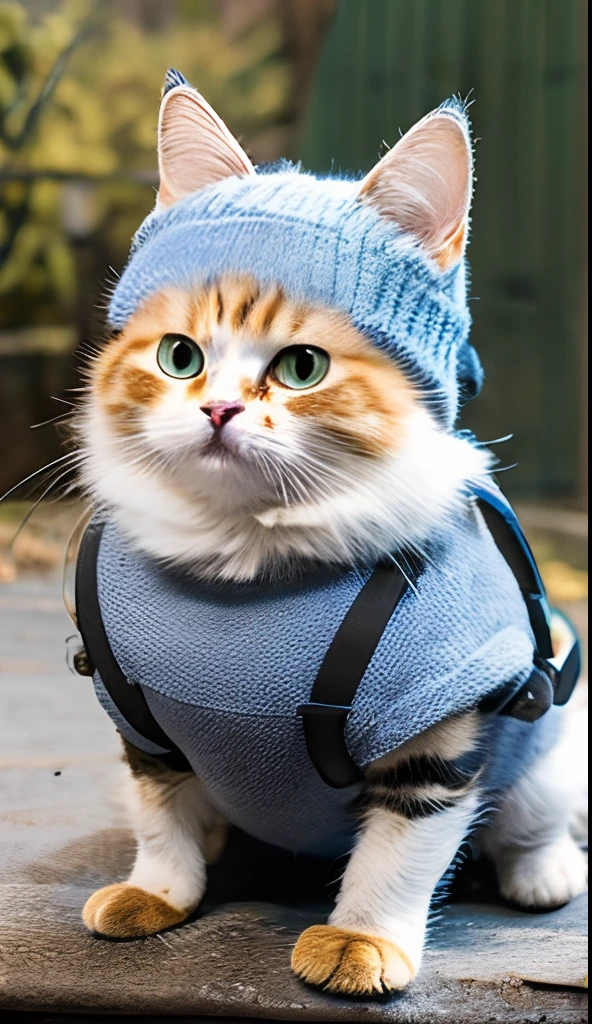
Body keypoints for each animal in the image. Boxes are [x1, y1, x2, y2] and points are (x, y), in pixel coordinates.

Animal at [71, 74, 581, 999]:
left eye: (302, 367)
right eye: (179, 356)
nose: (218, 408)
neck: (247, 558)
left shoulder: (436, 739)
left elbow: (398, 852)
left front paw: (359, 940)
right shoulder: (140, 720)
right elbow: (162, 811)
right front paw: (157, 889)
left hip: (548, 741)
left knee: (533, 817)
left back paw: (542, 871)